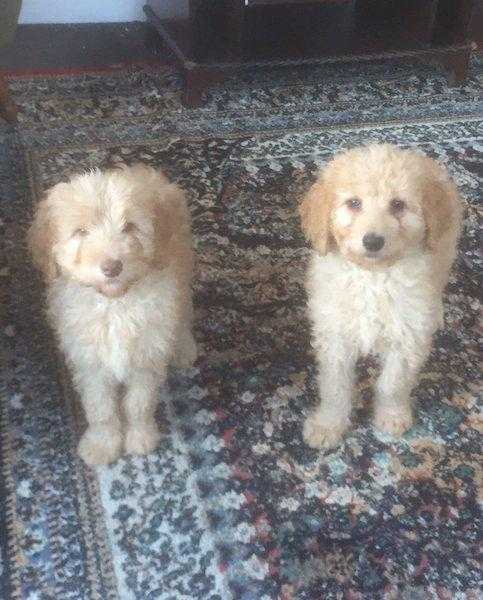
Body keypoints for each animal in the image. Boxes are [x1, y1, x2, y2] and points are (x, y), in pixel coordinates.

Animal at [300, 144, 464, 450]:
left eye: (398, 205)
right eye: (354, 203)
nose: (373, 241)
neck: (373, 279)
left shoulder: (406, 337)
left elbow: (392, 384)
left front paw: (391, 416)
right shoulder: (335, 337)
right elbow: (335, 386)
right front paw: (328, 425)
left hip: (445, 251)